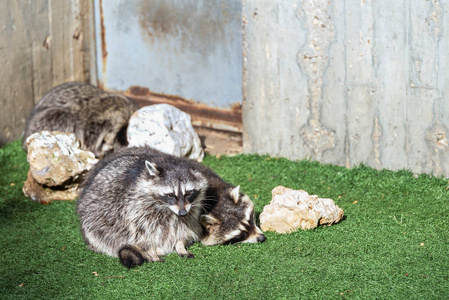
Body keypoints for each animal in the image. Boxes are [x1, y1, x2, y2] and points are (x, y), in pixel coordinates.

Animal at [77, 146, 208, 268]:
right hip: (95, 218)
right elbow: (142, 234)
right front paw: (151, 252)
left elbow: (183, 226)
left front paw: (180, 244)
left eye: (189, 193)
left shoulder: (190, 209)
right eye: (170, 195)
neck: (168, 210)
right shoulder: (136, 207)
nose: (182, 213)